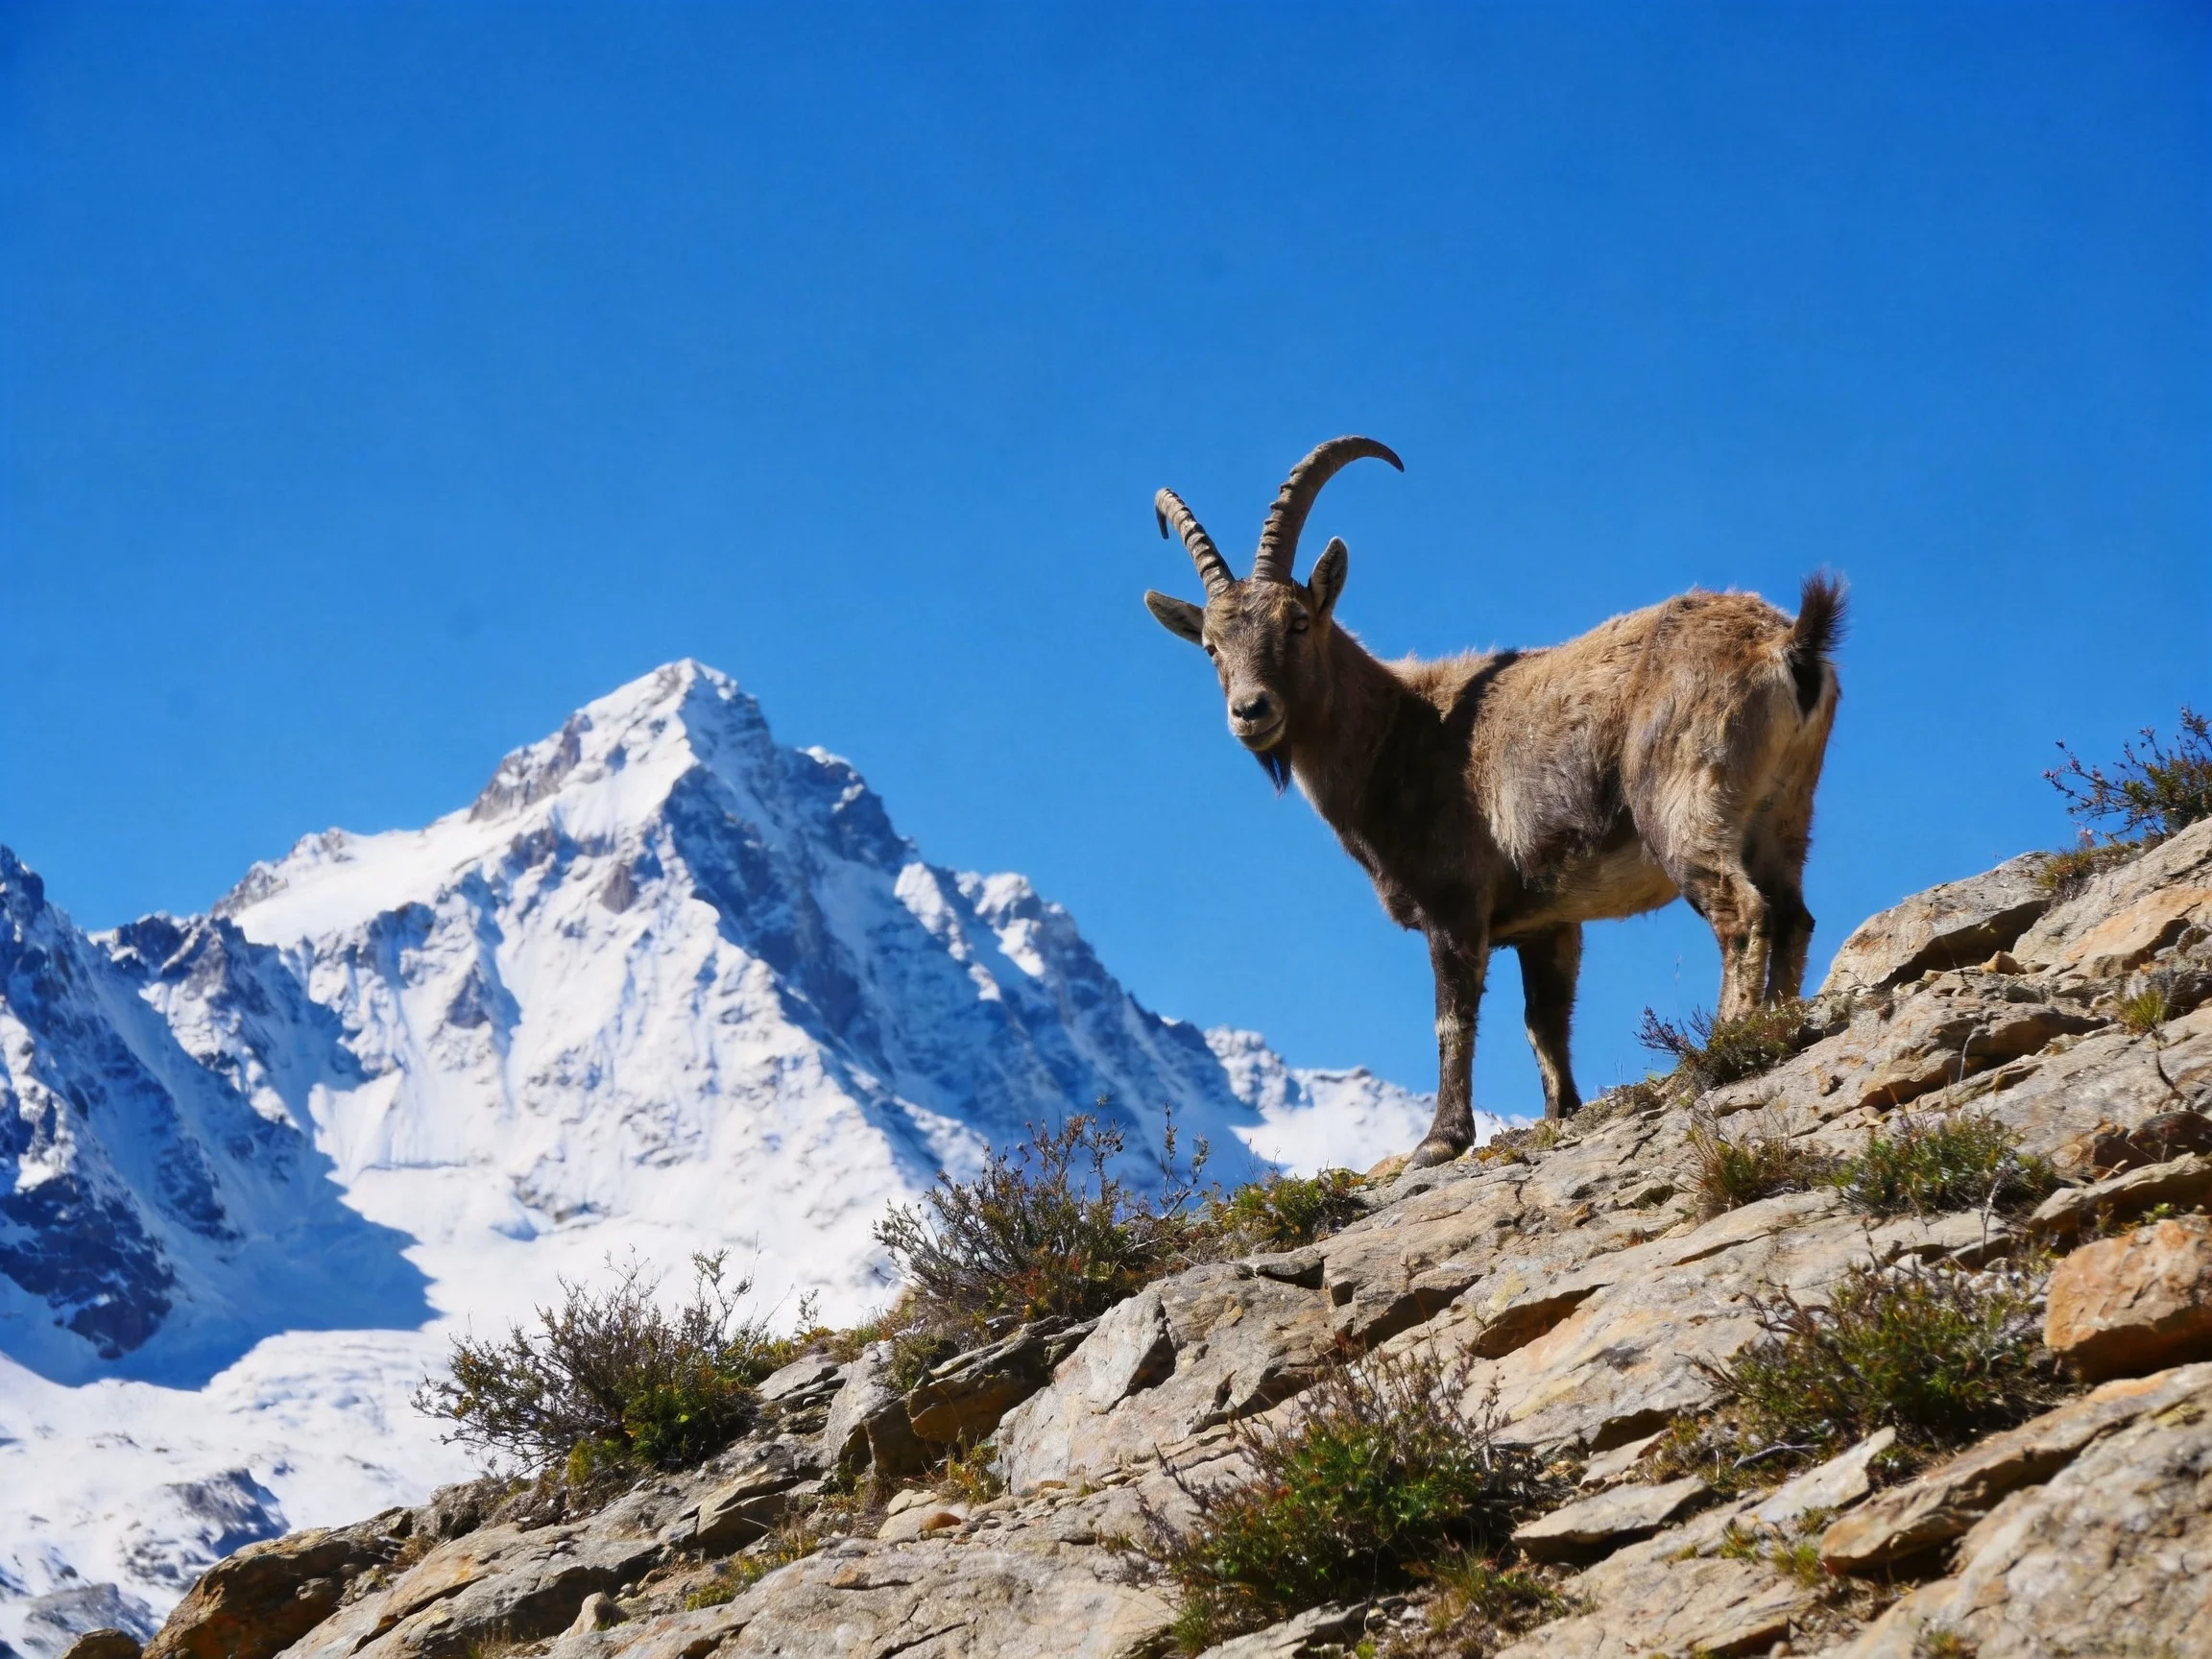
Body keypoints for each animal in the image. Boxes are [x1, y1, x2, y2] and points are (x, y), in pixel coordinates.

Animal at [1144, 437, 1844, 1166]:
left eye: (1298, 621)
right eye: (1211, 646)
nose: (1251, 711)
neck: (1396, 735)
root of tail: (1787, 646)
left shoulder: (1455, 903)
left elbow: (1453, 1017)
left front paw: (1440, 1139)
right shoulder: (1547, 920)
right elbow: (1545, 1022)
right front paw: (1560, 1114)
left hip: (1685, 806)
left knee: (1743, 912)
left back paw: (1722, 1048)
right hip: (1784, 813)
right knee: (1793, 915)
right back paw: (1778, 1026)